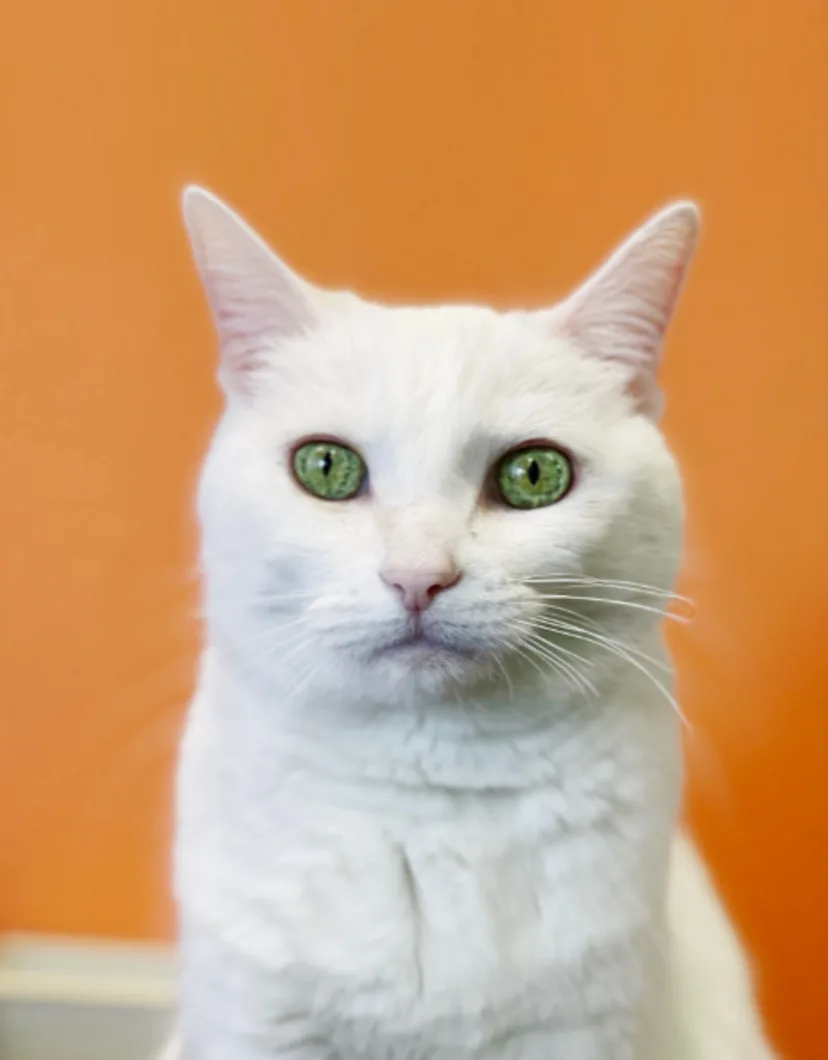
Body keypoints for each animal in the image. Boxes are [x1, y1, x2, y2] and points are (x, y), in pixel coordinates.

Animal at [167, 192, 776, 1060]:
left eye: (534, 474)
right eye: (326, 466)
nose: (419, 575)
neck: (426, 817)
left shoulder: (583, 1029)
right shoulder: (254, 1022)